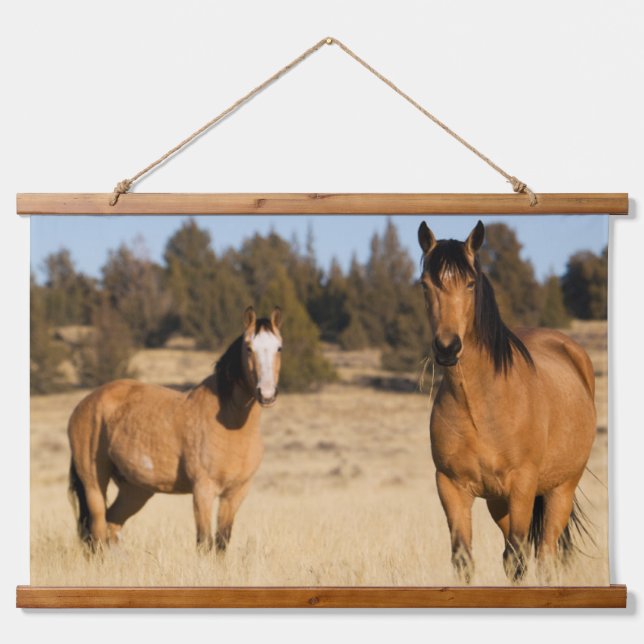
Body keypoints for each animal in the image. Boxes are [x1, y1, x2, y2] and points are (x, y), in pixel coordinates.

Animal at [68, 306, 283, 553]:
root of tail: (85, 404)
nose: (267, 393)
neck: (231, 424)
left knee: (111, 527)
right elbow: (204, 543)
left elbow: (221, 543)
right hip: (94, 484)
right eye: (249, 348)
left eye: (279, 347)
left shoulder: (235, 493)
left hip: (135, 490)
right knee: (97, 533)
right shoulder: (203, 491)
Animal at [417, 220, 596, 583]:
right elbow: (464, 559)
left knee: (544, 554)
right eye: (426, 285)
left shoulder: (522, 485)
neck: (480, 405)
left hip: (560, 490)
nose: (447, 347)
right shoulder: (451, 487)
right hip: (498, 503)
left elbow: (518, 559)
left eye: (470, 283)